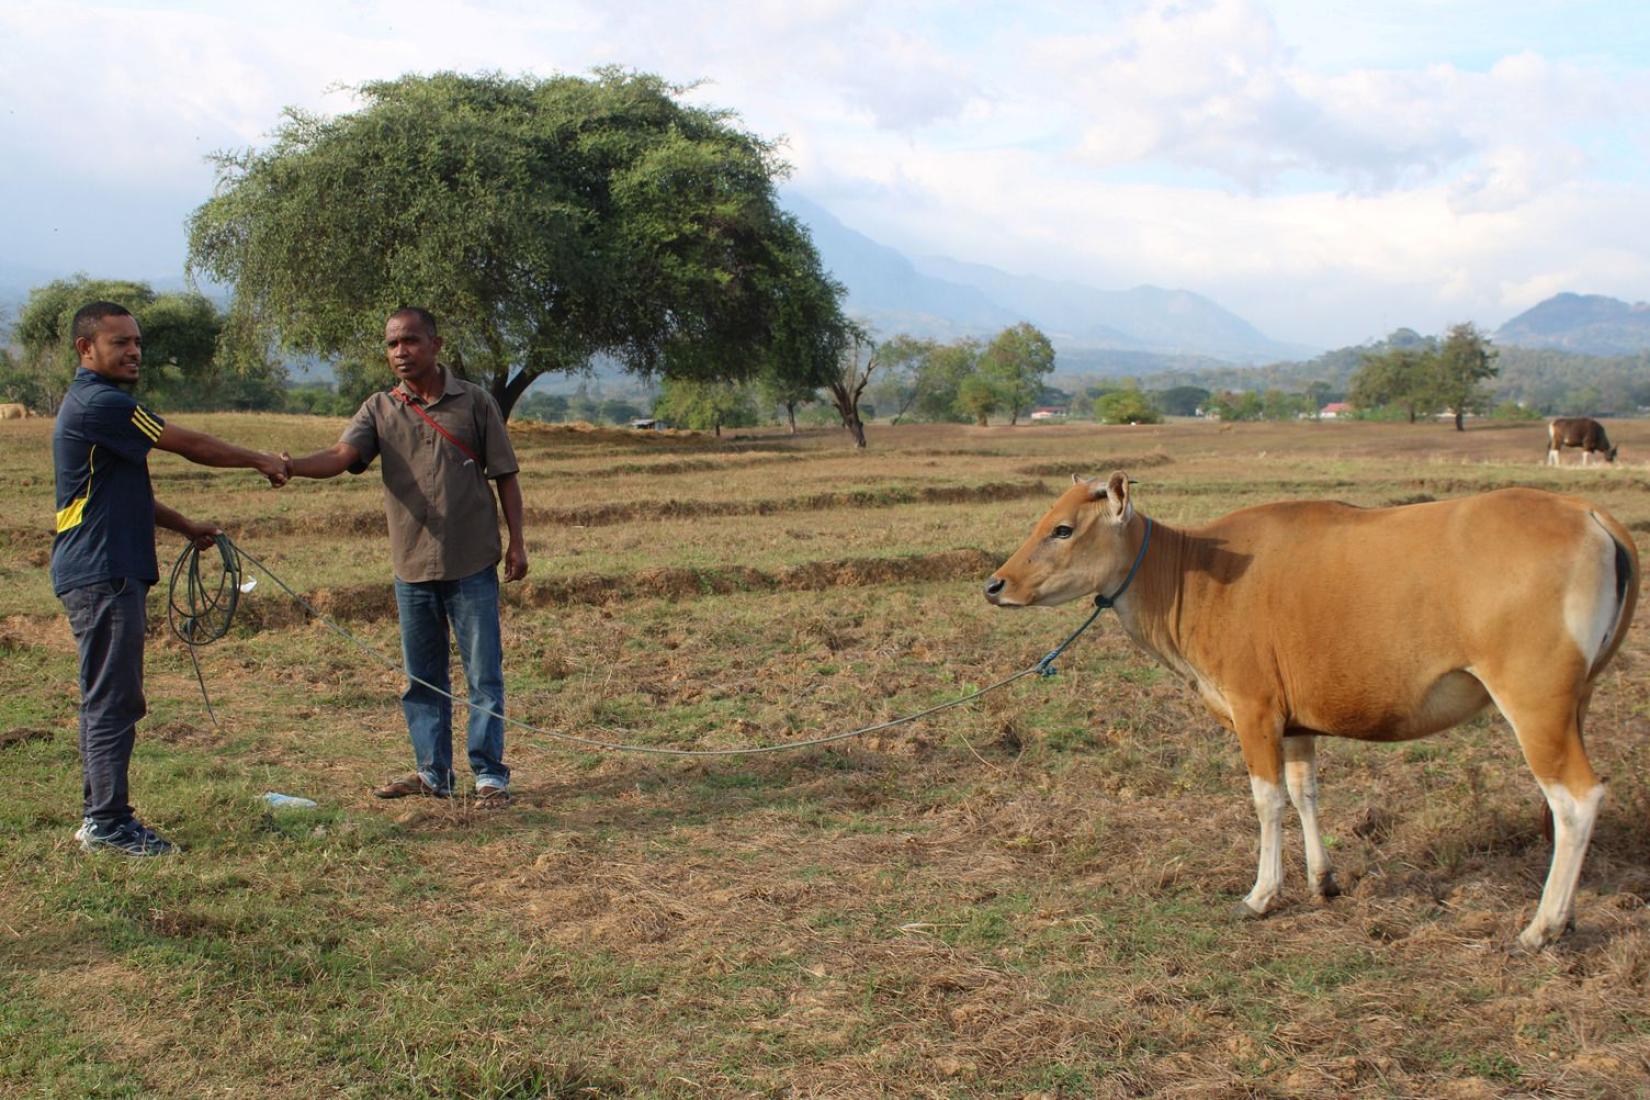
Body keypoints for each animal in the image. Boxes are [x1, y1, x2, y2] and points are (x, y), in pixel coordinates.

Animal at [985, 472, 1639, 950]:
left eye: (1062, 529)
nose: (996, 584)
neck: (1196, 576)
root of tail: (1588, 513)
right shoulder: (1295, 722)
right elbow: (1305, 793)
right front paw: (1322, 879)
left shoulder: (1254, 710)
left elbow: (1267, 800)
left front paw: (1261, 894)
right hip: (1576, 701)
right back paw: (1565, 916)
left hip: (1534, 701)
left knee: (1577, 799)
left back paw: (1542, 927)